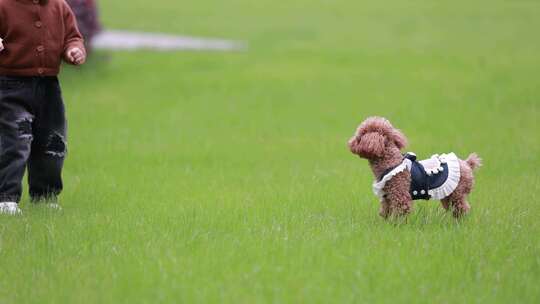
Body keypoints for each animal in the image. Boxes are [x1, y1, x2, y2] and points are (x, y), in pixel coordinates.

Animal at [350, 116, 480, 218]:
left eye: (360, 135)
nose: (350, 143)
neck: (390, 162)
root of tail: (467, 164)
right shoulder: (387, 196)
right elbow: (385, 212)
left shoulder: (400, 195)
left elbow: (400, 213)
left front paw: (397, 226)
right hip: (448, 195)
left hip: (457, 193)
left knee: (462, 209)